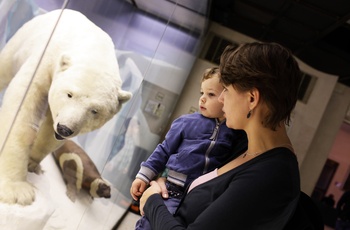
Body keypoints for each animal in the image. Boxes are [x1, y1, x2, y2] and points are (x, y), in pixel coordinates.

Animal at [0, 9, 133, 207]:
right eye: (69, 94)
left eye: (95, 111)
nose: (64, 128)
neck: (93, 46)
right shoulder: (46, 62)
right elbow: (22, 109)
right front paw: (17, 191)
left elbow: (50, 135)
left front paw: (31, 163)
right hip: (22, 39)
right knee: (5, 67)